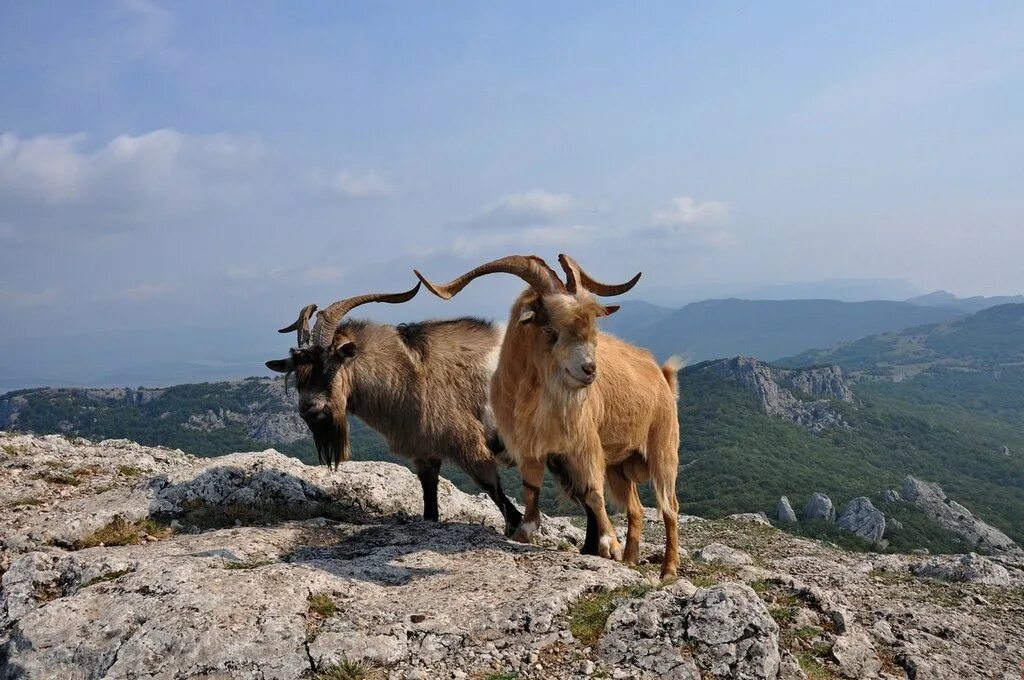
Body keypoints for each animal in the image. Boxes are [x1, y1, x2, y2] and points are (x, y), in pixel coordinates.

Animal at [264, 284, 524, 532]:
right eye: (297, 373)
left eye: (329, 365)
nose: (308, 409)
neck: (412, 373)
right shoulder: (424, 452)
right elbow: (430, 507)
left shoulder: (470, 446)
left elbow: (505, 505)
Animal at [411, 258, 684, 577]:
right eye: (551, 330)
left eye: (592, 328)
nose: (589, 370)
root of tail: (662, 376)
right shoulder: (529, 446)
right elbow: (531, 488)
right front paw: (523, 531)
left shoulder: (584, 445)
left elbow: (593, 492)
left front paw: (608, 545)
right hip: (619, 466)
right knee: (636, 508)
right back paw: (630, 559)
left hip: (663, 450)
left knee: (670, 508)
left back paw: (668, 569)